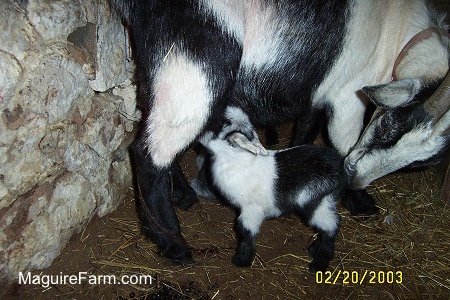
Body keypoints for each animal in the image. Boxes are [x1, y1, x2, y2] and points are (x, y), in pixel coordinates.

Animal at [199, 106, 350, 270]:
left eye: (219, 126)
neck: (234, 159)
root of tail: (340, 167)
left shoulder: (251, 209)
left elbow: (245, 231)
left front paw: (241, 260)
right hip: (326, 200)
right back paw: (313, 249)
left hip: (315, 200)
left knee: (330, 226)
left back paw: (318, 264)